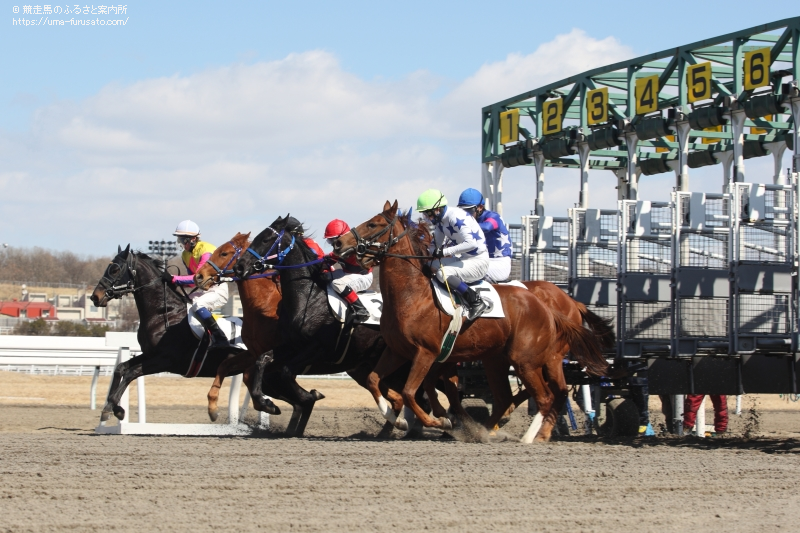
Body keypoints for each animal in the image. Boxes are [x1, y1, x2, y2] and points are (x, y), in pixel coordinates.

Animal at [91, 243, 270, 422]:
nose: (95, 297)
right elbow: (121, 368)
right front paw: (112, 407)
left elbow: (131, 372)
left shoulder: (166, 360)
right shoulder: (149, 354)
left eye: (115, 269)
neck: (164, 313)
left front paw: (114, 407)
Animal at [234, 214, 422, 434]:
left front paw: (309, 396)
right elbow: (263, 360)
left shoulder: (319, 347)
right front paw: (268, 404)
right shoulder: (291, 345)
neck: (308, 297)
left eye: (265, 240)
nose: (239, 266)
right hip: (369, 365)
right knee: (398, 397)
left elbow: (287, 371)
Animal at [334, 200, 608, 440]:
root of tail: (552, 306)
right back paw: (486, 431)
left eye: (373, 223)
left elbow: (411, 392)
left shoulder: (427, 353)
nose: (339, 242)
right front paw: (399, 420)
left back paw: (531, 437)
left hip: (529, 360)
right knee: (508, 398)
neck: (412, 296)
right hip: (496, 360)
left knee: (547, 396)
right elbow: (376, 381)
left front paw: (439, 422)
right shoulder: (399, 351)